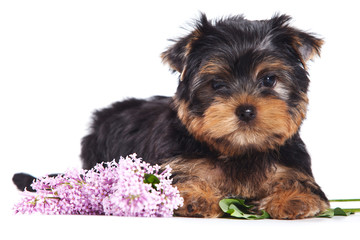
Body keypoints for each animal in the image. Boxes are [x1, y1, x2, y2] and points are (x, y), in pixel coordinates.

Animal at [14, 13, 330, 219]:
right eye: (217, 84)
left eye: (269, 79)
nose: (246, 110)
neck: (239, 150)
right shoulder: (176, 162)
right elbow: (180, 181)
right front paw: (193, 196)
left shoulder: (291, 164)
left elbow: (301, 184)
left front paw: (294, 199)